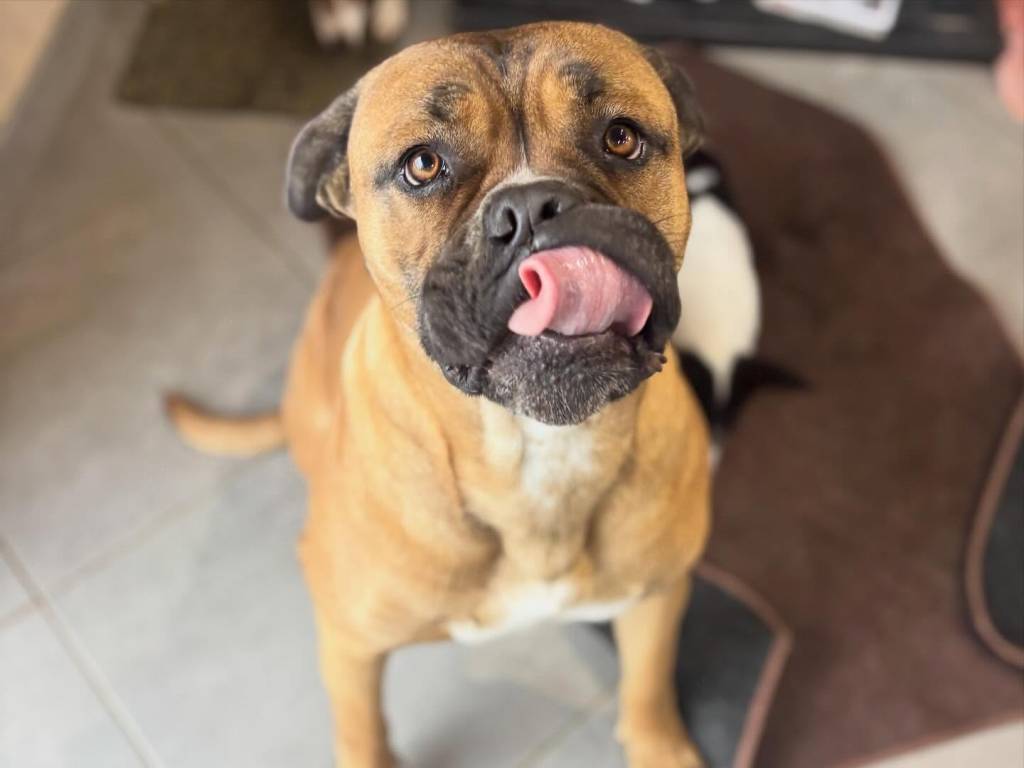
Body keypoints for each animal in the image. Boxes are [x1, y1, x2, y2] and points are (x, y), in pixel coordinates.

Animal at [169, 22, 710, 768]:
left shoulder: (659, 594)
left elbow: (649, 685)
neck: (536, 453)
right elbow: (361, 730)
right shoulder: (350, 641)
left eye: (621, 137)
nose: (534, 208)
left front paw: (660, 744)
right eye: (423, 165)